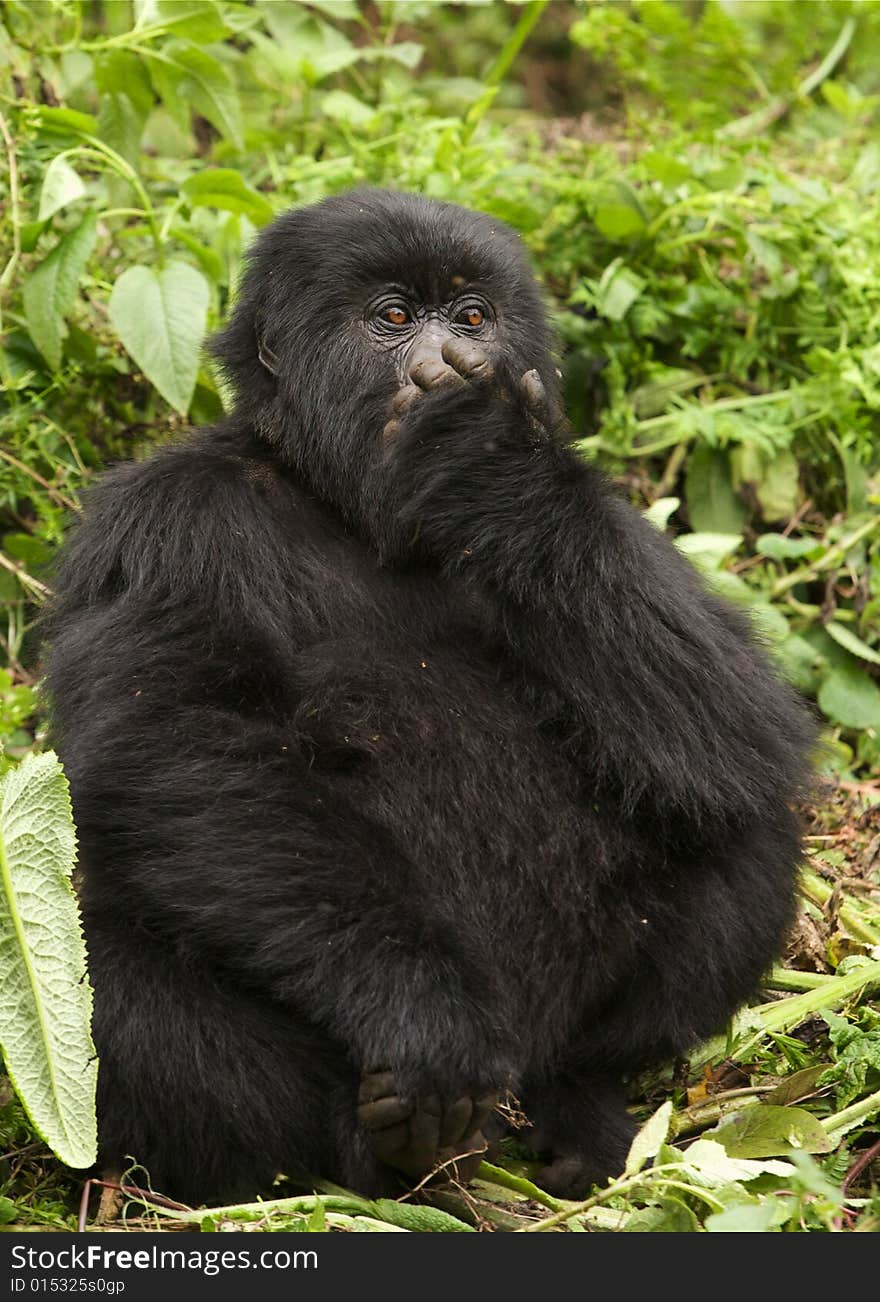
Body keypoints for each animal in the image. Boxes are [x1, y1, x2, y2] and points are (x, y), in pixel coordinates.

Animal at [42, 188, 812, 1203]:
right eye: (395, 317)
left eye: (474, 317)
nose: (453, 363)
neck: (335, 501)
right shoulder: (167, 524)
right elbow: (179, 748)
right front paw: (425, 1019)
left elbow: (746, 720)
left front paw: (498, 470)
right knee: (97, 967)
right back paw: (377, 1156)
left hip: (547, 1044)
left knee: (743, 815)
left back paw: (582, 1103)